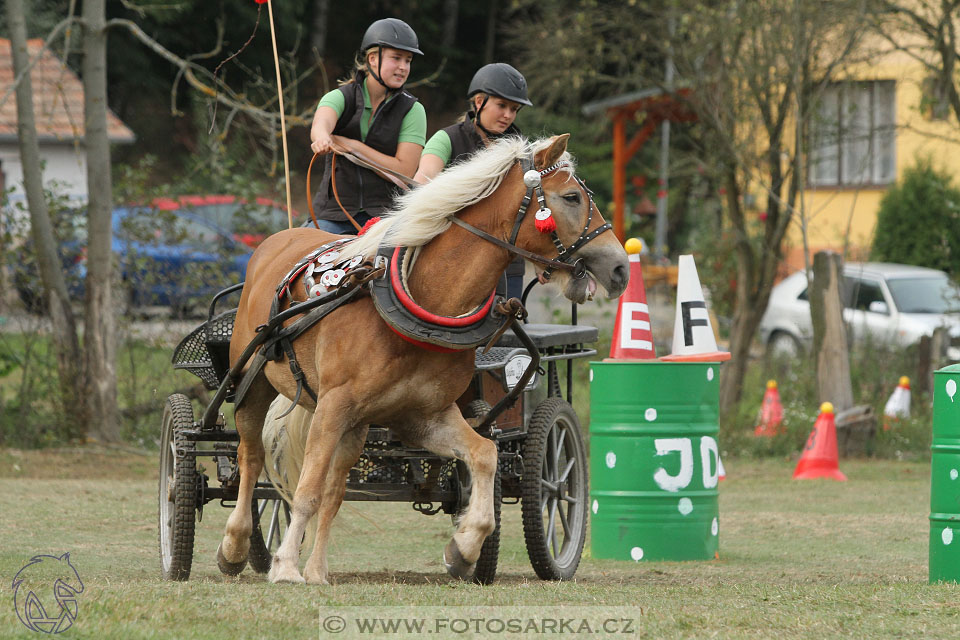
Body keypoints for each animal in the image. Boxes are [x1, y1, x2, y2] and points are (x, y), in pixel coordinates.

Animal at [218, 135, 632, 584]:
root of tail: (276, 241)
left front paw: (464, 548)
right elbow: (306, 489)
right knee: (251, 459)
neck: (422, 301)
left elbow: (484, 454)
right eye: (572, 197)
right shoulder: (332, 405)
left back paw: (318, 569)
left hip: (357, 425)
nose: (620, 268)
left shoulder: (422, 415)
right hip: (254, 384)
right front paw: (286, 566)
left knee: (334, 489)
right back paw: (235, 547)